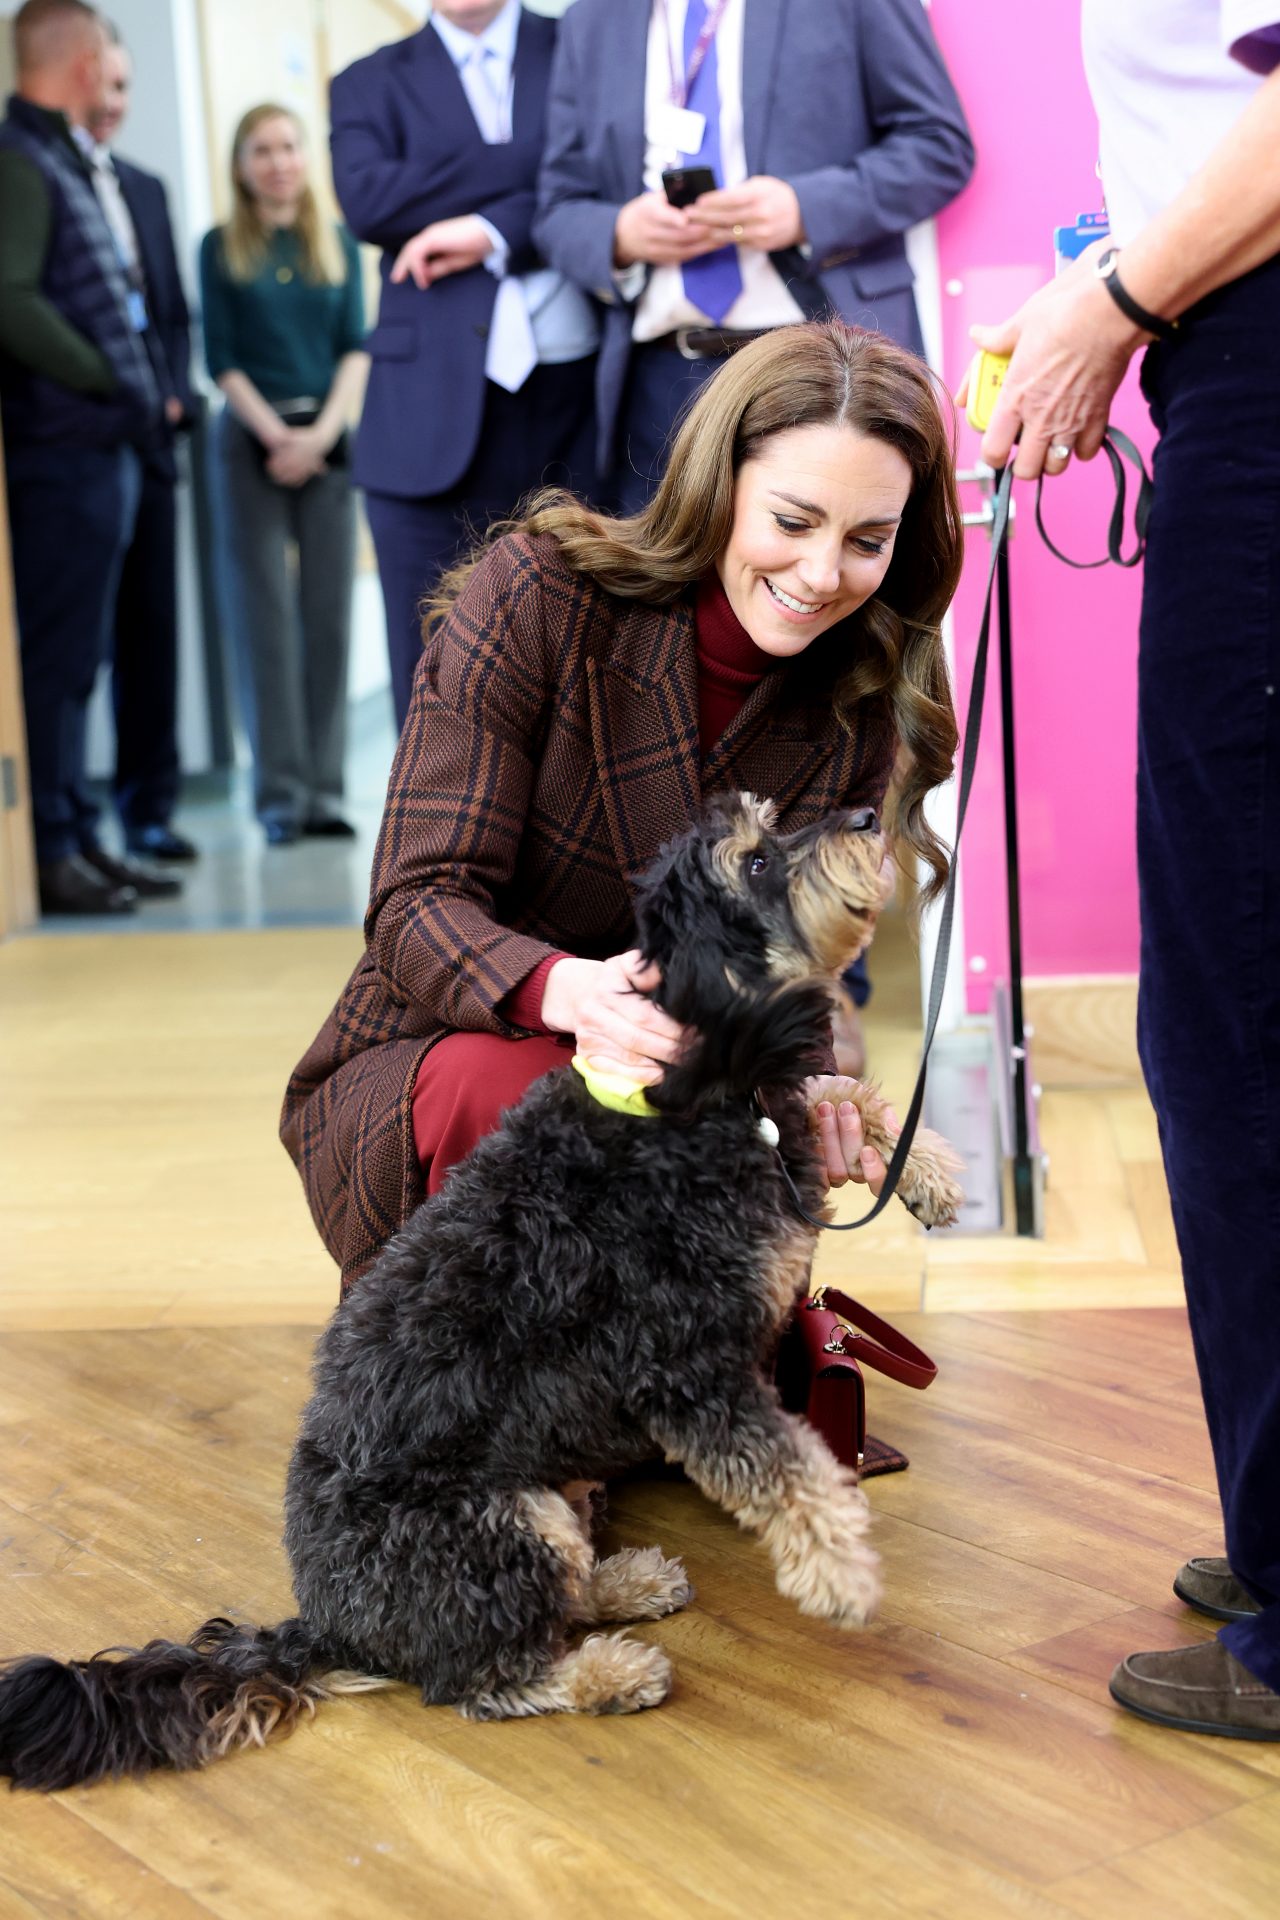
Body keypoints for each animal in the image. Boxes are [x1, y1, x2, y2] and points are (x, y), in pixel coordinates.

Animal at [0, 791, 959, 1781]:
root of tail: (329, 1627)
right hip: (502, 1522)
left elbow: (839, 1089)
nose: (864, 813)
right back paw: (606, 1671)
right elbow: (789, 1474)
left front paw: (924, 1166)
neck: (684, 1094)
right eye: (759, 861)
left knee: (550, 1603)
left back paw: (623, 1581)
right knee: (484, 1680)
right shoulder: (686, 1368)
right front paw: (842, 1574)